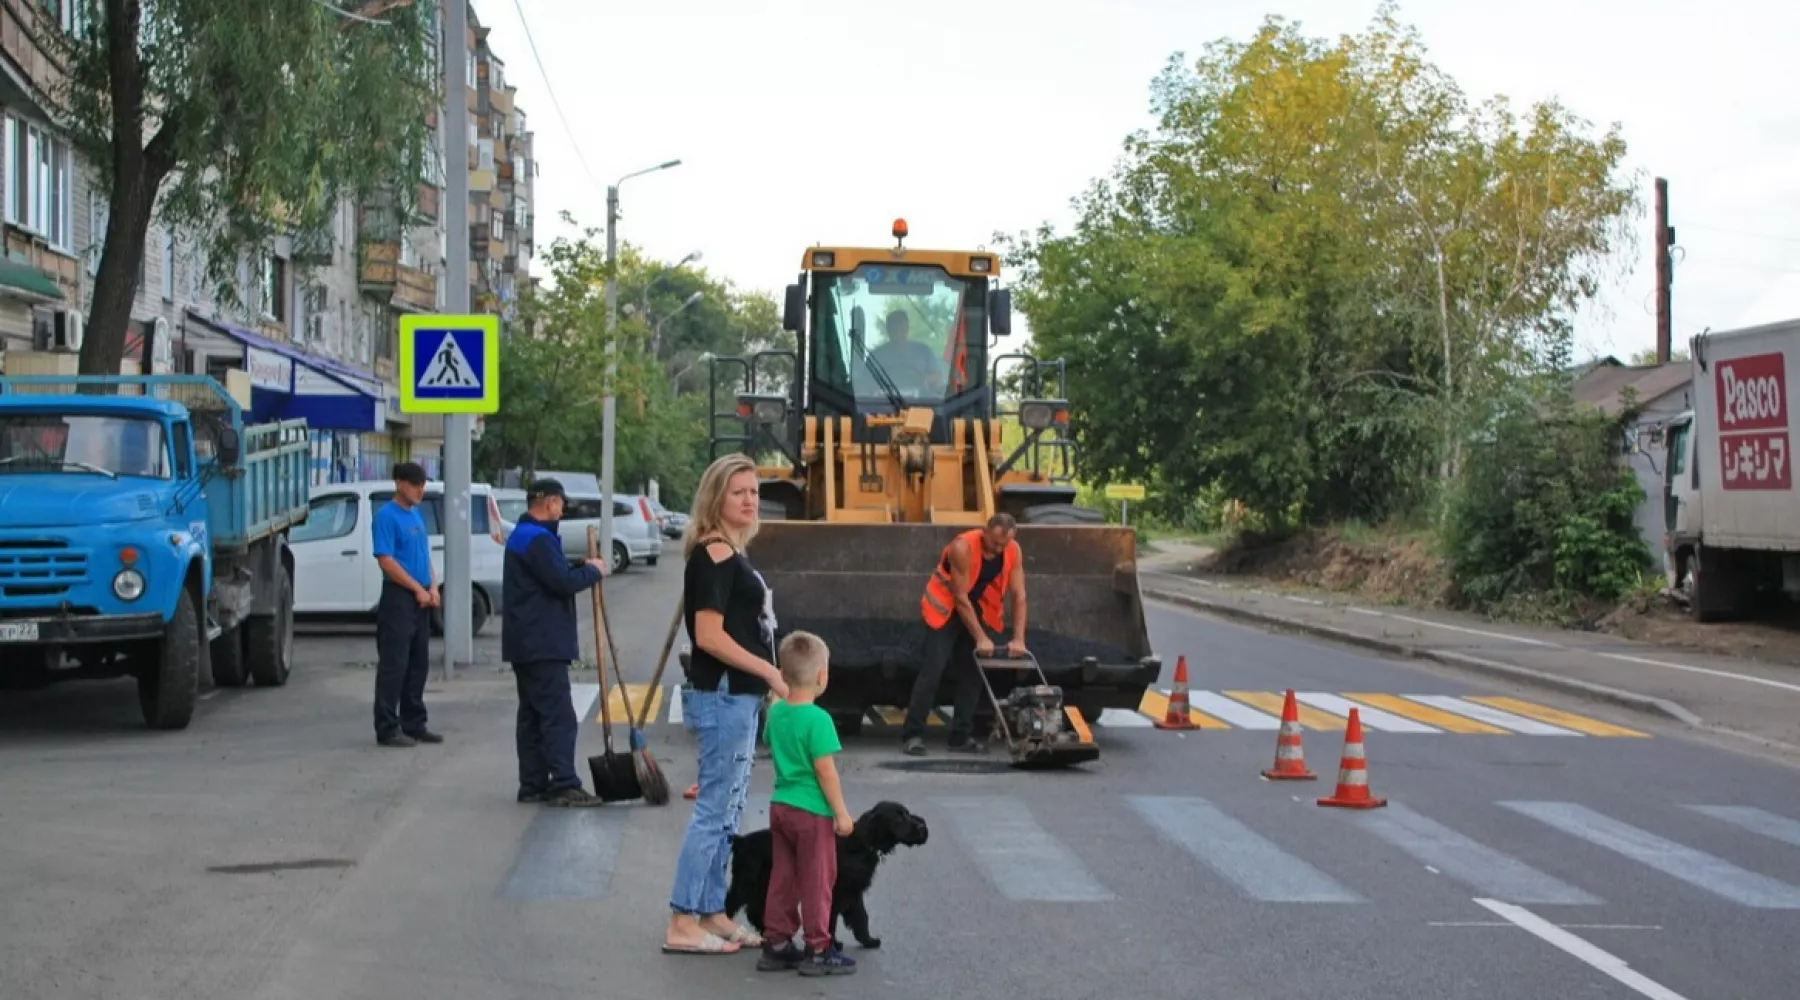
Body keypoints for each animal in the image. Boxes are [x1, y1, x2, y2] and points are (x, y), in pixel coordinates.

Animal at [727, 802, 936, 949]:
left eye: (906, 813)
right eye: (899, 817)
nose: (923, 829)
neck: (859, 845)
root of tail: (741, 841)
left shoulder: (853, 892)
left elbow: (861, 916)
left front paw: (867, 940)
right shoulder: (835, 892)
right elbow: (830, 920)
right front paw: (833, 944)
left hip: (762, 885)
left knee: (754, 910)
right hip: (747, 883)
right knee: (731, 902)